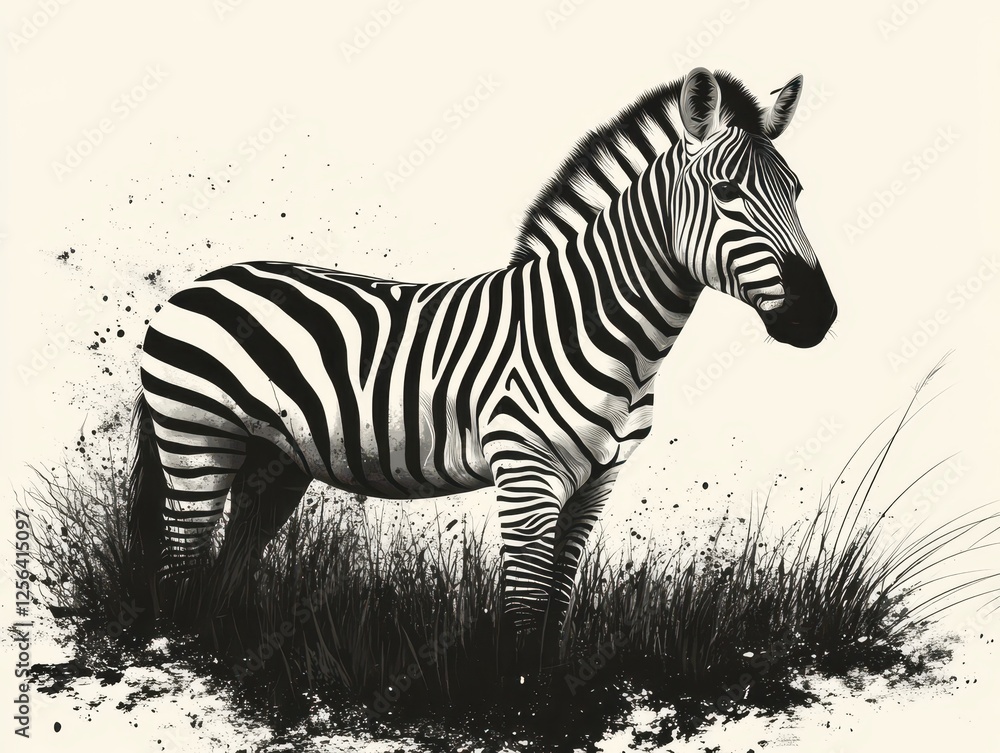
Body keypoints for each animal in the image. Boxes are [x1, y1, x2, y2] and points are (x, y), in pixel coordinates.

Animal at [126, 67, 837, 671]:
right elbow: (523, 617)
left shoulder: (596, 484)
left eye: (799, 192)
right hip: (195, 443)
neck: (605, 328)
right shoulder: (526, 475)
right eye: (726, 192)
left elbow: (555, 615)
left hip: (272, 461)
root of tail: (197, 284)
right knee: (179, 569)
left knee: (223, 575)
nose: (819, 315)